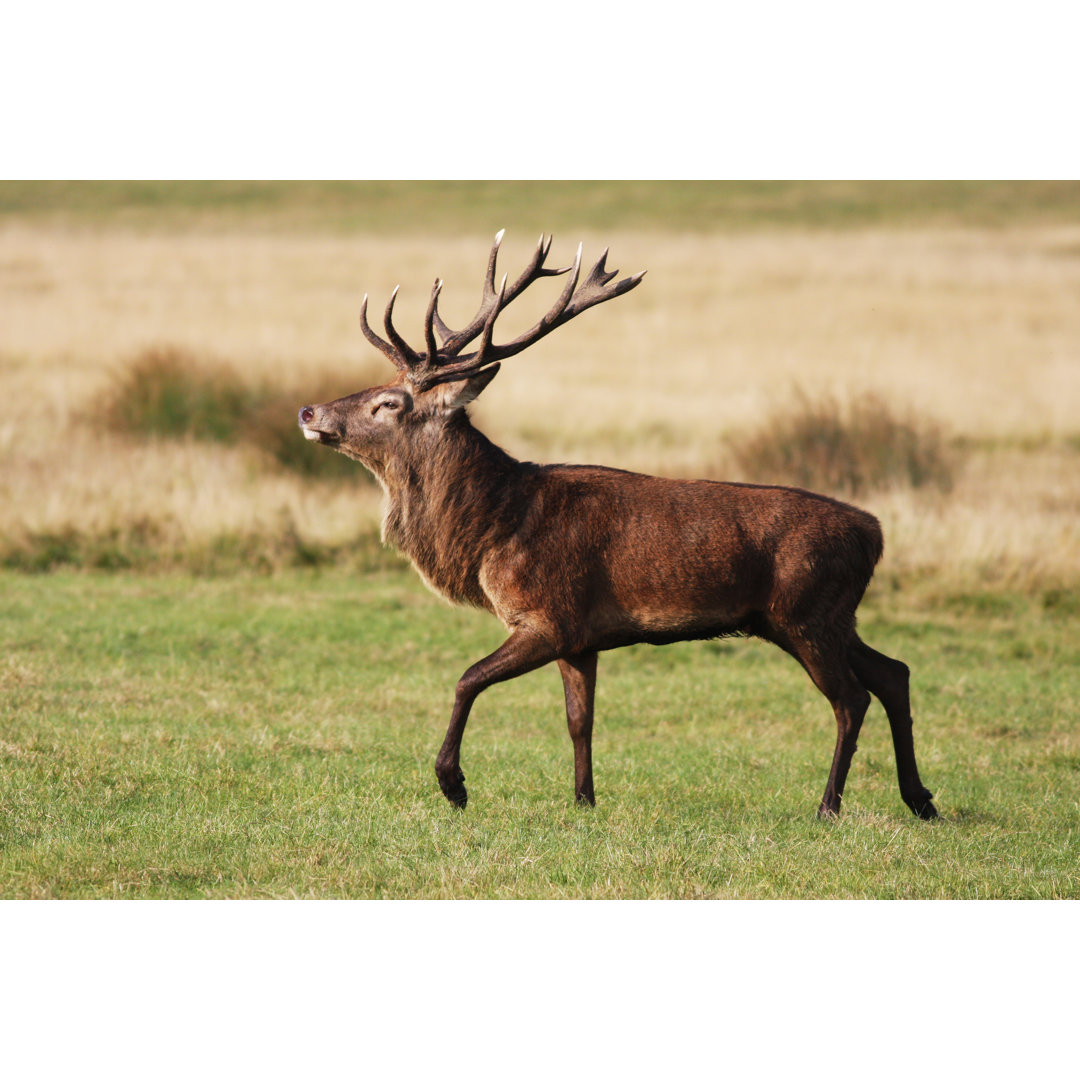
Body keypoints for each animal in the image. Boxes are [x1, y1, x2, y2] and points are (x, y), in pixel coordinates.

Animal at [298, 230, 937, 816]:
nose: (309, 411)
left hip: (805, 612)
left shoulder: (547, 614)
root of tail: (875, 534)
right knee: (895, 673)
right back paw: (920, 798)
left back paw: (829, 804)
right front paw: (584, 800)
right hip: (827, 616)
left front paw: (453, 784)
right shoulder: (581, 637)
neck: (491, 530)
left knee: (852, 698)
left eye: (388, 404)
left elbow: (467, 678)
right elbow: (580, 720)